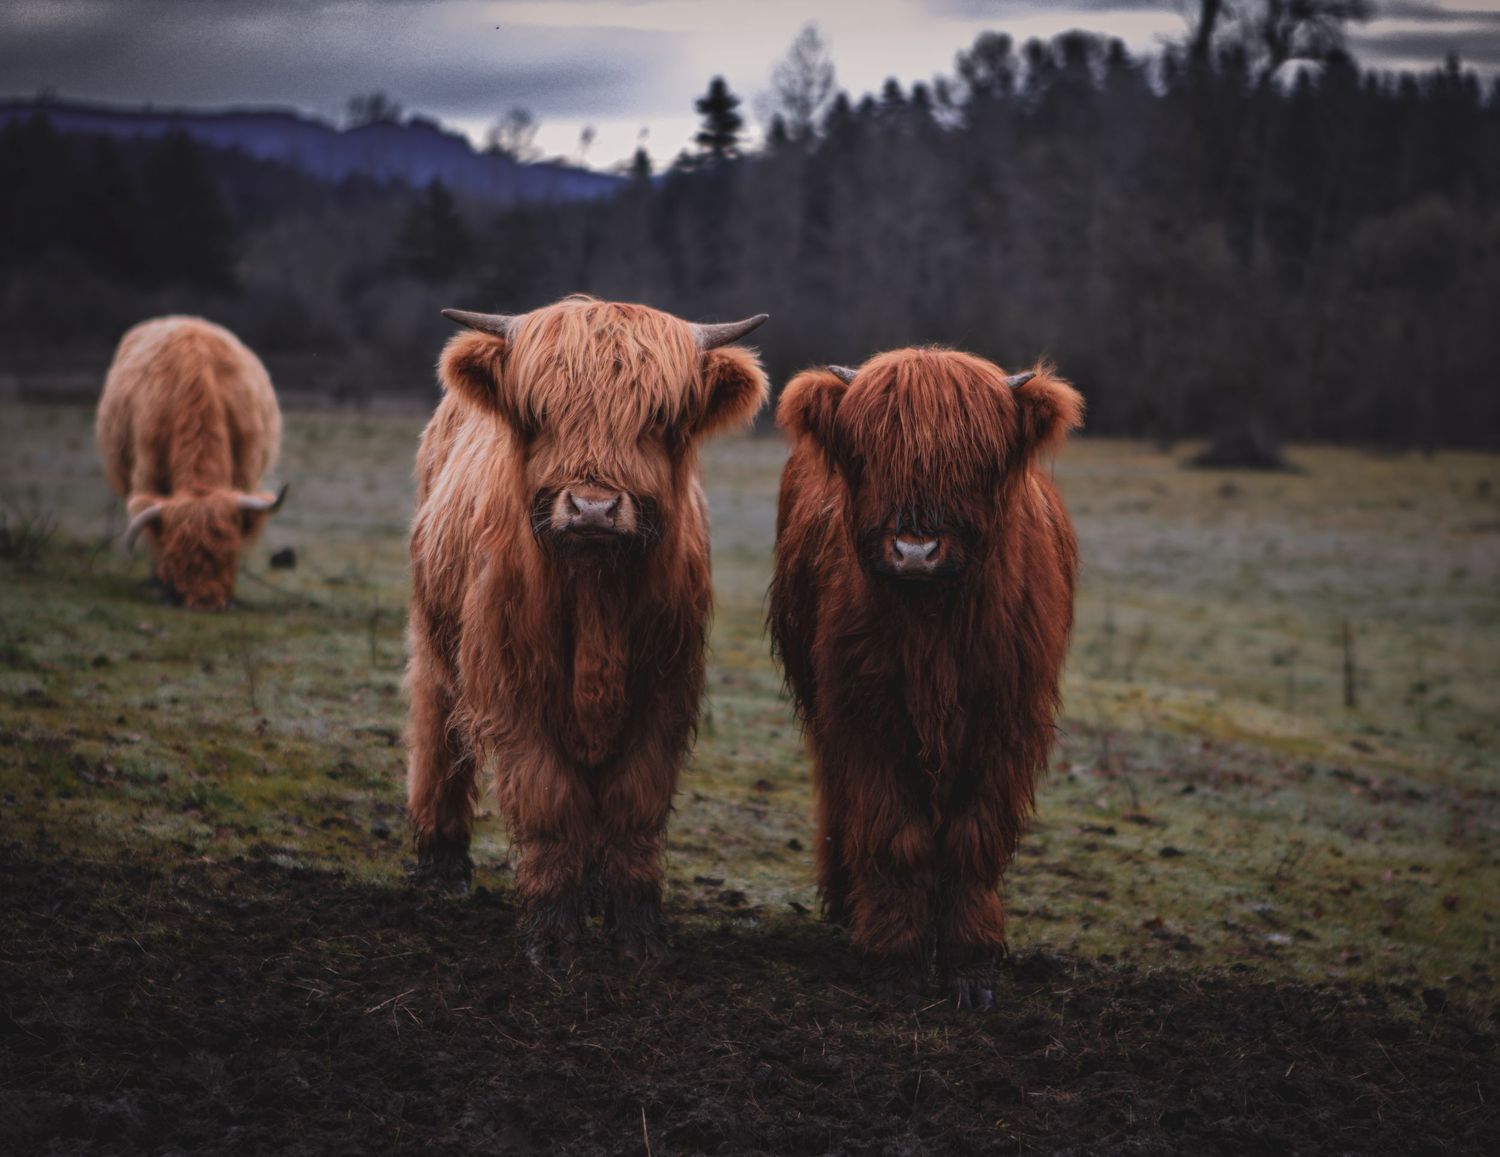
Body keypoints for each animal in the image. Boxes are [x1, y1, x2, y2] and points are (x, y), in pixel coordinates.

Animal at [96, 316, 287, 610]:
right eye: (174, 554)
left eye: (229, 553)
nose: (203, 600)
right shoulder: (148, 474)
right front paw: (159, 582)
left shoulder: (245, 474)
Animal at [406, 295, 769, 964]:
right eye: (540, 412)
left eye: (657, 417)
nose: (593, 508)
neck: (596, 587)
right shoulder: (515, 687)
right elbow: (548, 799)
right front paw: (552, 932)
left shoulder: (663, 692)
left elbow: (634, 803)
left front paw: (637, 929)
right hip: (437, 636)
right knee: (437, 727)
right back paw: (440, 862)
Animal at [769, 348, 1083, 1008]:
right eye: (868, 454)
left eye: (977, 459)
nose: (915, 551)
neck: (932, 628)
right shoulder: (865, 715)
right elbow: (895, 832)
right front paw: (896, 957)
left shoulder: (1005, 720)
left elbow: (973, 835)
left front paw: (970, 961)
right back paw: (847, 902)